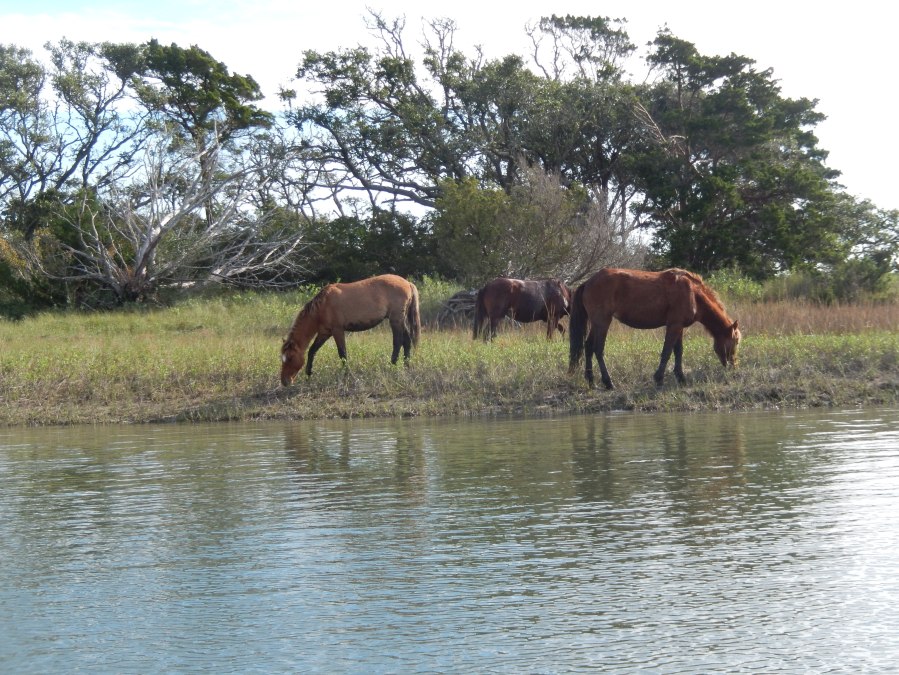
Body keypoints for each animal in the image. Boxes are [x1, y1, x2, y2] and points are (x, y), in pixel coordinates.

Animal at [280, 274, 421, 385]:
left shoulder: (337, 331)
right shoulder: (325, 332)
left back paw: (392, 365)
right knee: (407, 341)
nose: (284, 382)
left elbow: (342, 353)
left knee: (398, 342)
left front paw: (347, 375)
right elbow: (312, 351)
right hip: (400, 320)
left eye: (290, 358)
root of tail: (407, 283)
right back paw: (406, 365)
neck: (322, 306)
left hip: (395, 320)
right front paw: (309, 374)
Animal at [568, 268, 741, 389]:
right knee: (598, 349)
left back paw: (591, 381)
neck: (692, 292)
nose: (734, 366)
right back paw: (608, 382)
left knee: (588, 347)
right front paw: (659, 378)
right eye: (736, 341)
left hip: (596, 324)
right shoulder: (674, 326)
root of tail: (588, 282)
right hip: (603, 322)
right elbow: (667, 352)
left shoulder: (679, 327)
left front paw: (681, 378)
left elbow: (678, 352)